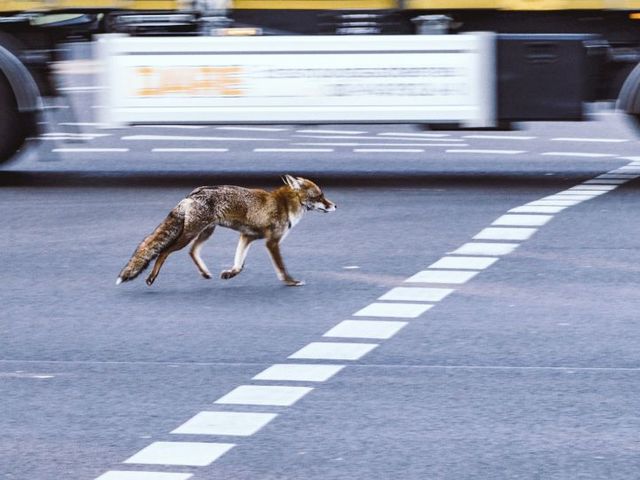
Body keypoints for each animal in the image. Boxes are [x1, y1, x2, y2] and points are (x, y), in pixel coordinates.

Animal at [116, 175, 336, 287]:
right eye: (320, 196)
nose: (335, 206)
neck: (285, 204)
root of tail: (192, 193)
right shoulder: (271, 242)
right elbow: (281, 267)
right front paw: (290, 281)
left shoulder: (247, 237)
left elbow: (240, 264)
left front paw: (230, 273)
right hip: (188, 235)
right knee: (163, 252)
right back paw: (151, 278)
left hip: (205, 233)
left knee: (192, 252)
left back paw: (205, 273)